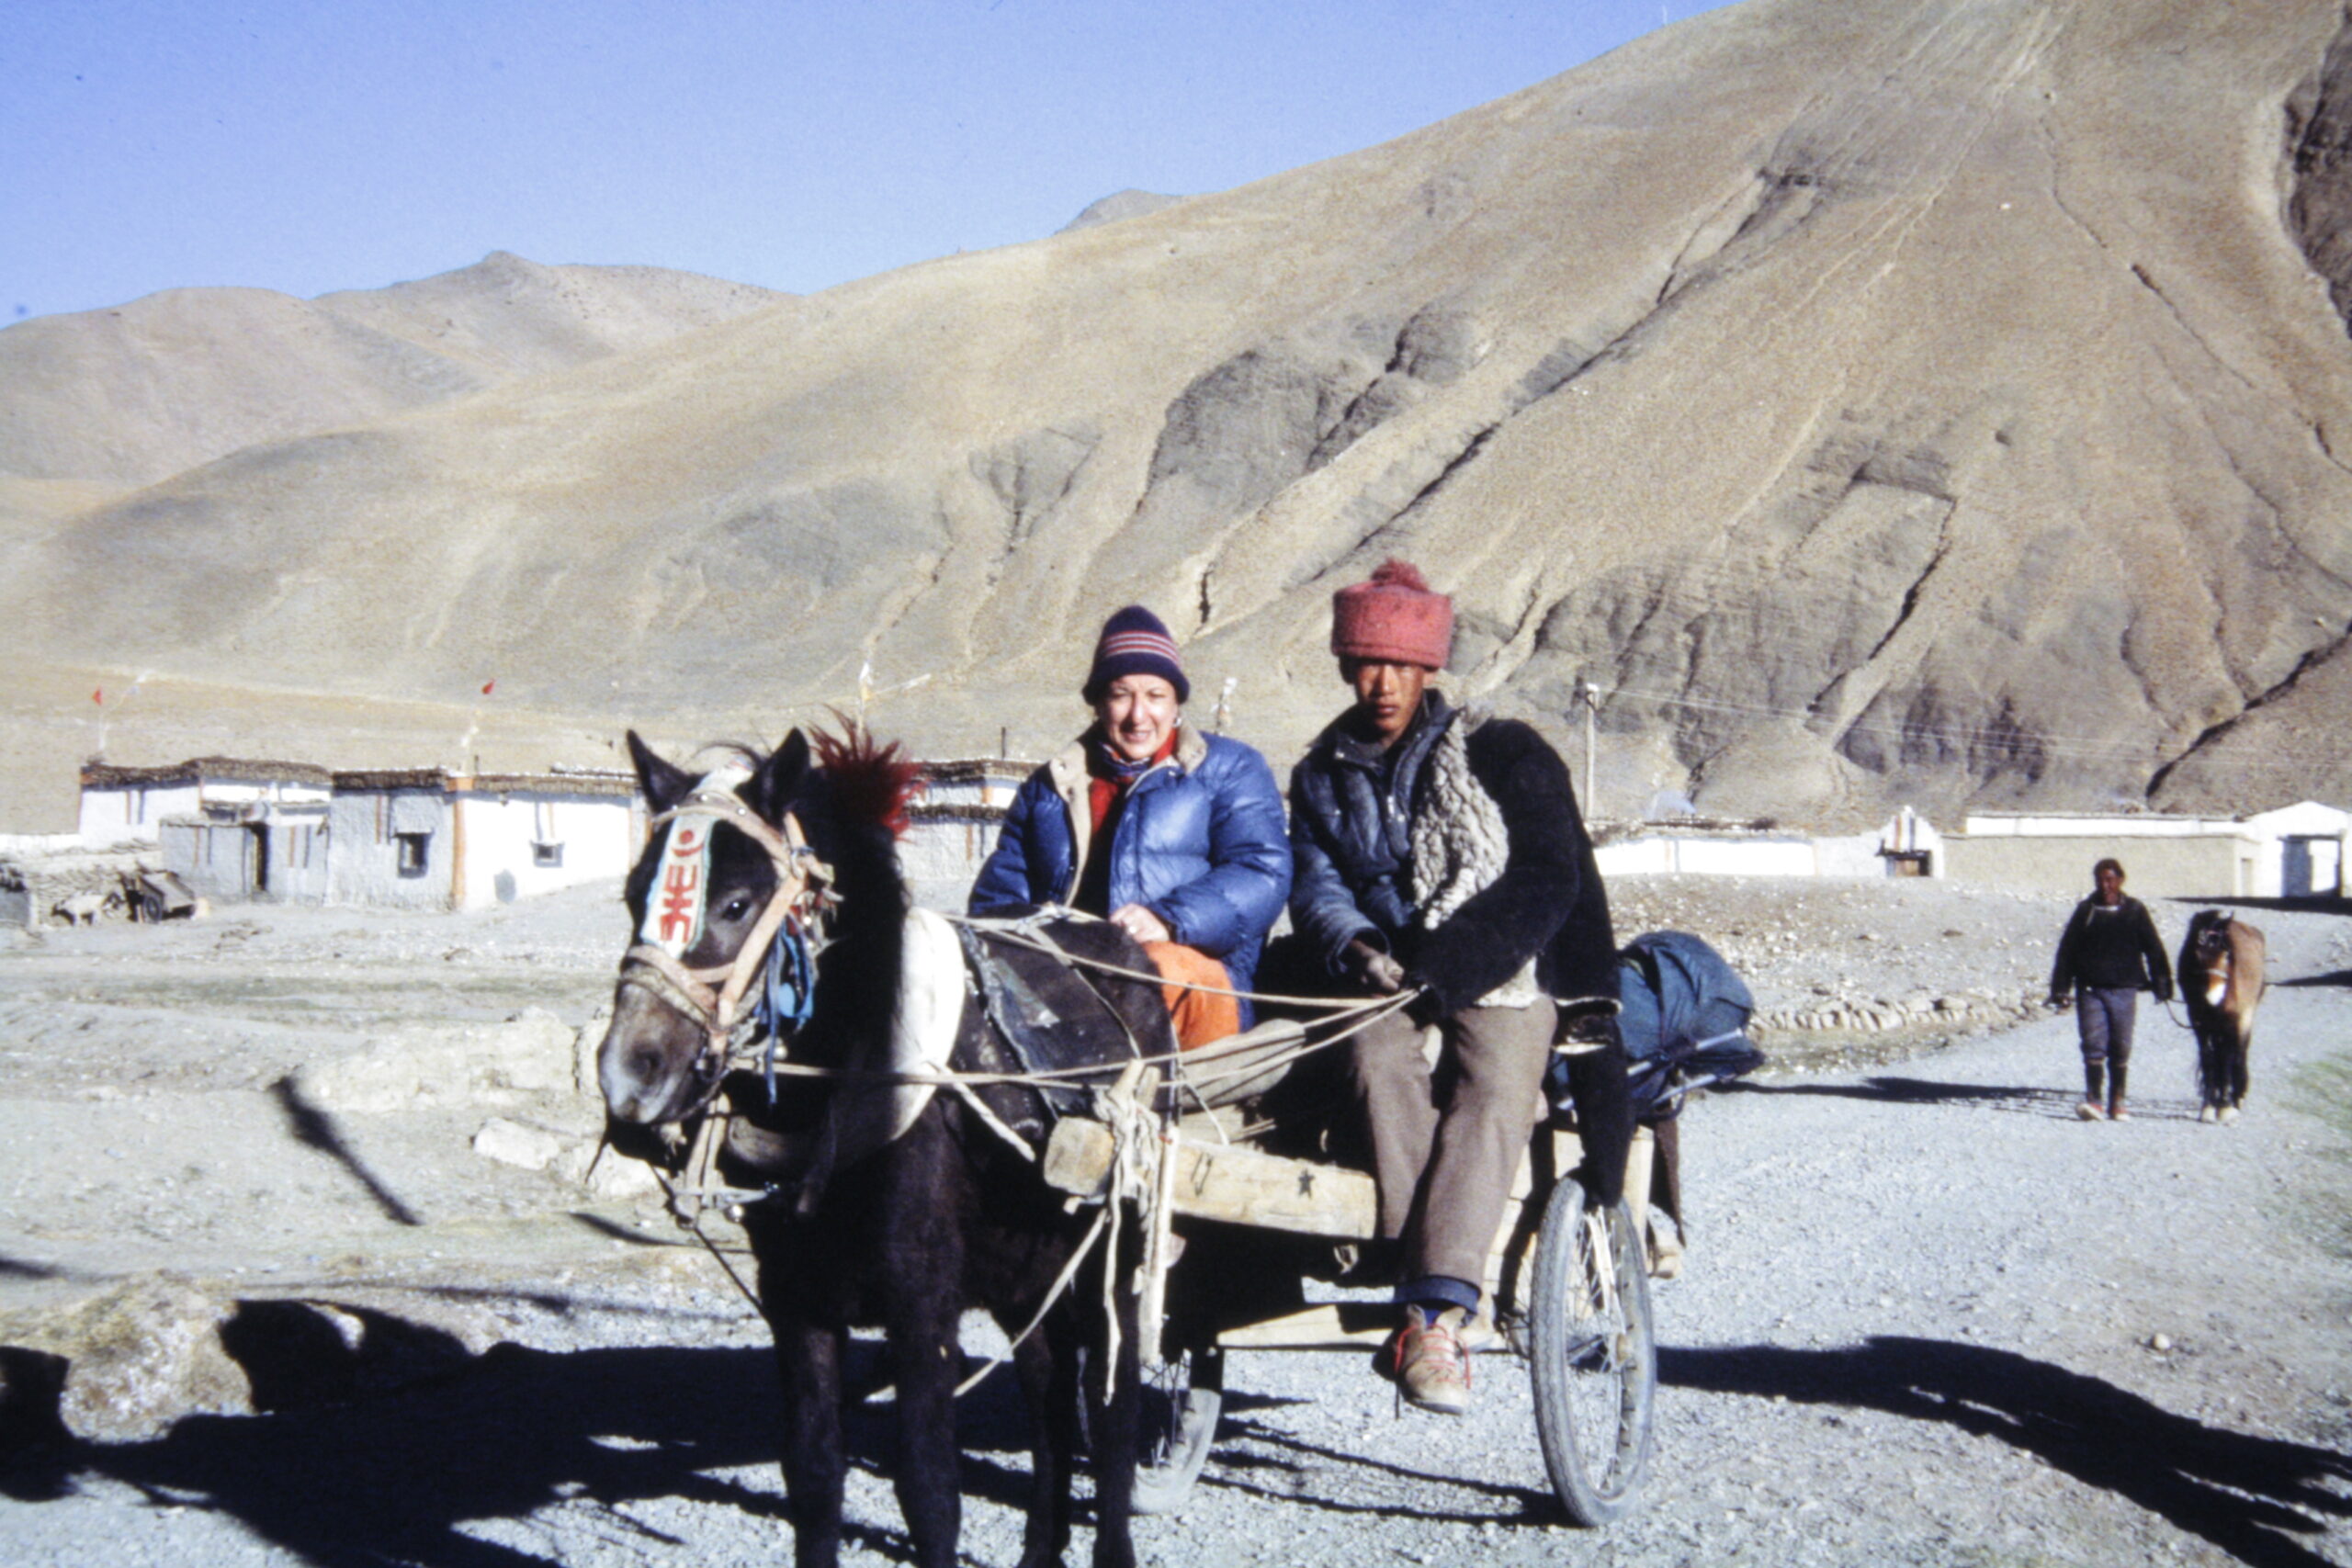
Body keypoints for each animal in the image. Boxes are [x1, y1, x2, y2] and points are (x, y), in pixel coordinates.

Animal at [602, 728, 1161, 1568]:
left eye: (735, 903)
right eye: (636, 895)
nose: (628, 1076)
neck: (856, 1071)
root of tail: (1122, 945)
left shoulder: (920, 1300)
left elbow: (929, 1486)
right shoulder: (794, 1298)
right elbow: (814, 1472)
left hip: (1114, 1252)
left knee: (1114, 1402)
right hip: (1028, 1265)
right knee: (1047, 1392)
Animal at [2164, 911, 2257, 1123]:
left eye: (2227, 954)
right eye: (2196, 955)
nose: (2213, 996)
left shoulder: (2232, 1022)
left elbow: (2229, 1057)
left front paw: (2225, 1106)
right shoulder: (2201, 1024)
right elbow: (2209, 1058)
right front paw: (2209, 1105)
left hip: (2245, 1018)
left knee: (2240, 1052)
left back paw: (2237, 1096)